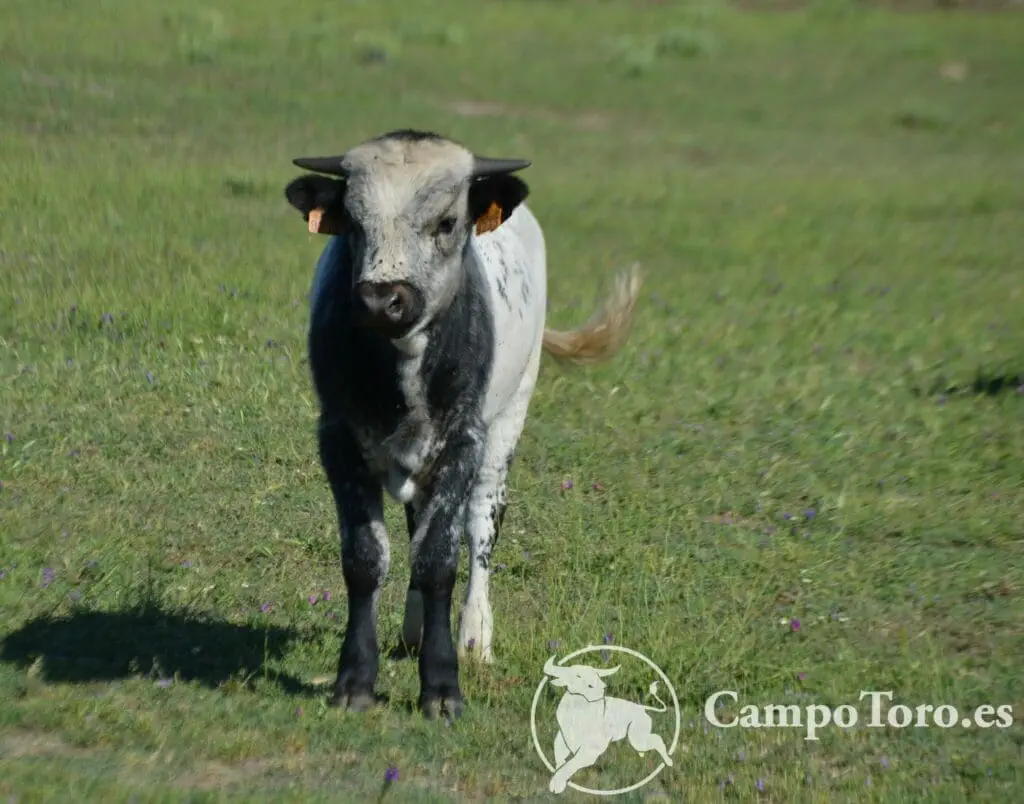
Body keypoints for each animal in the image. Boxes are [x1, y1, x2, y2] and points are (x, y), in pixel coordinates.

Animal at [284, 128, 638, 716]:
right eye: (352, 222)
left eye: (447, 223)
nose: (381, 300)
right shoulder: (337, 438)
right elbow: (366, 557)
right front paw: (354, 680)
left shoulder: (463, 441)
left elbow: (438, 560)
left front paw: (443, 686)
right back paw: (412, 631)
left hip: (507, 423)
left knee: (481, 526)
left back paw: (475, 637)